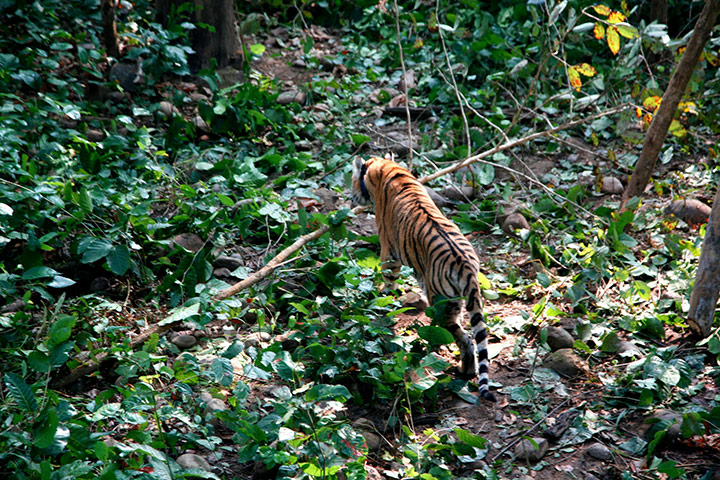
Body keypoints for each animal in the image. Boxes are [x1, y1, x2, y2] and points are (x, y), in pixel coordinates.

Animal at [351, 155, 496, 402]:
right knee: (470, 337)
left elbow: (388, 280)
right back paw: (466, 371)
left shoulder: (388, 250)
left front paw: (382, 298)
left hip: (440, 303)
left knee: (462, 338)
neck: (384, 167)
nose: (351, 198)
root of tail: (465, 265)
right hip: (457, 301)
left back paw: (457, 367)